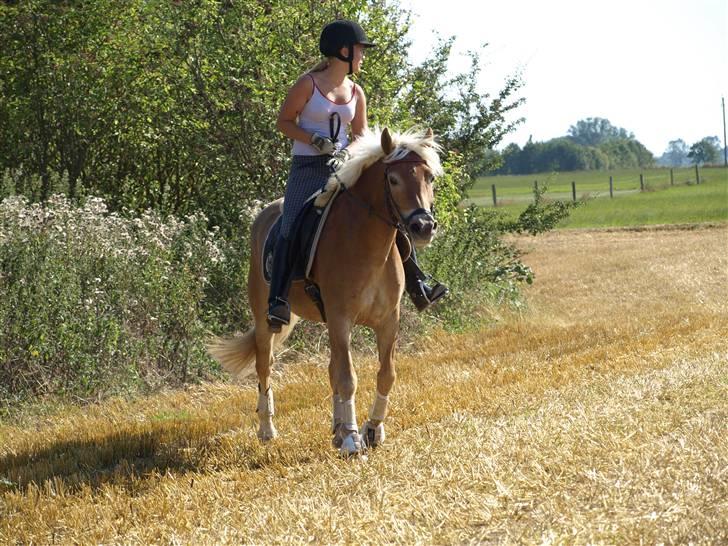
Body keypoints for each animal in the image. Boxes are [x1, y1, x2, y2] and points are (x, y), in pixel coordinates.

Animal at [208, 127, 440, 454]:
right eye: (393, 180)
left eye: (429, 177)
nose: (423, 227)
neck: (367, 243)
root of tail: (266, 212)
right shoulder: (341, 319)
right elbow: (347, 378)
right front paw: (354, 439)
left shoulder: (387, 321)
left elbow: (385, 374)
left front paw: (372, 430)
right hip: (265, 319)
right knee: (264, 366)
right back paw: (268, 429)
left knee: (329, 369)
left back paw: (336, 429)